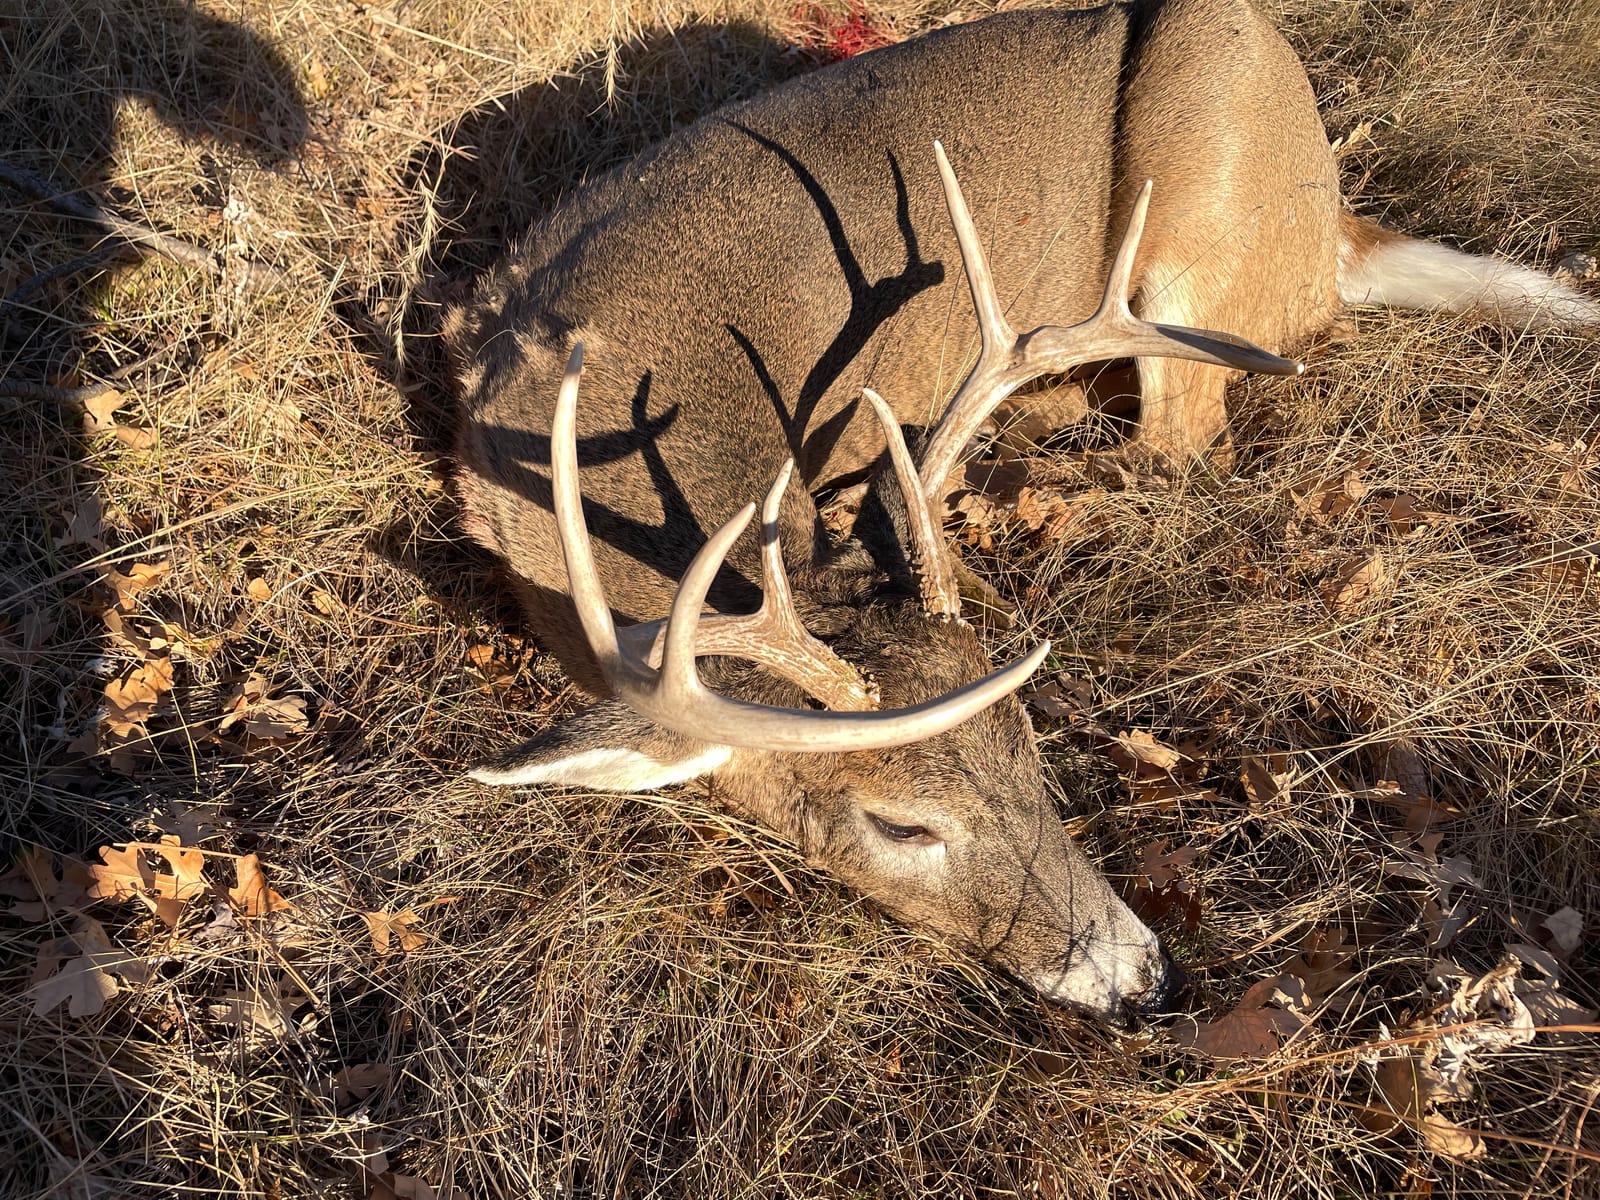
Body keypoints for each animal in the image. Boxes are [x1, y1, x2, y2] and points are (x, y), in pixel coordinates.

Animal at [442, 0, 1596, 1024]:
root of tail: (1335, 224)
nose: (1145, 979)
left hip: (1204, 167)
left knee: (1181, 445)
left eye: (1026, 744)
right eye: (902, 827)